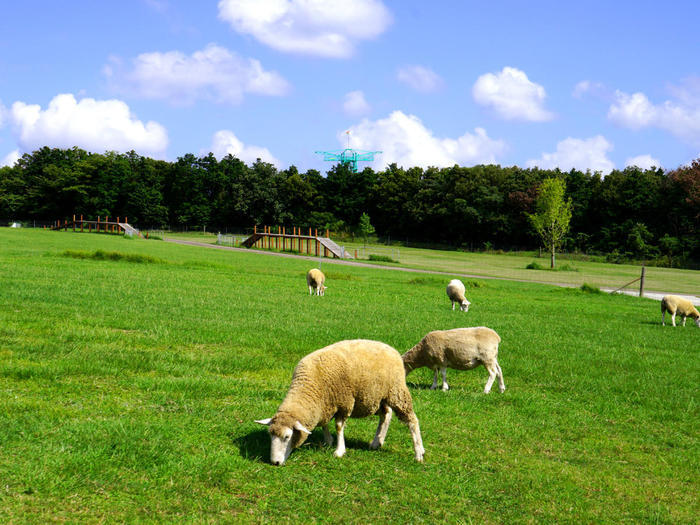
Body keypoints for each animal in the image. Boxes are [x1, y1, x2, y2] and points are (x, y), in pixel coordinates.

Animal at [254, 340, 424, 466]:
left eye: (287, 437)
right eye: (270, 435)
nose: (274, 462)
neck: (310, 386)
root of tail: (390, 348)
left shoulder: (344, 402)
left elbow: (339, 426)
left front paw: (339, 451)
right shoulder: (325, 404)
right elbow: (324, 423)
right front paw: (328, 441)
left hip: (396, 391)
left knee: (412, 420)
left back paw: (419, 452)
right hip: (377, 396)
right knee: (386, 415)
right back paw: (377, 441)